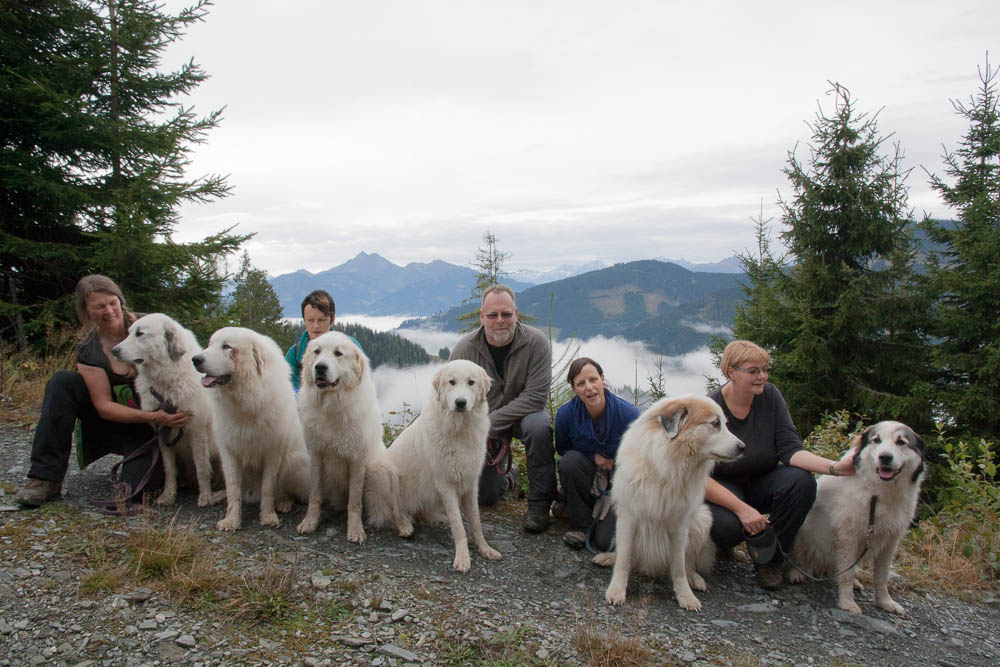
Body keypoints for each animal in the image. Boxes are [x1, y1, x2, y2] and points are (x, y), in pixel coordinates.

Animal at [112, 314, 224, 506]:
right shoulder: (163, 431)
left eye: (140, 333)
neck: (167, 382)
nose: (114, 350)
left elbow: (202, 467)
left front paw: (205, 496)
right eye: (128, 333)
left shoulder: (197, 431)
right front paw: (168, 495)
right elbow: (169, 468)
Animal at [190, 328, 308, 532]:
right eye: (210, 344)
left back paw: (283, 502)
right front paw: (231, 520)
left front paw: (268, 517)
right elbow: (233, 489)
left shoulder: (273, 453)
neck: (247, 400)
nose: (195, 359)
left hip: (295, 461)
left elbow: (268, 488)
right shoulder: (229, 453)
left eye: (227, 347)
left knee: (286, 491)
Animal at [370, 360, 500, 576]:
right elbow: (459, 526)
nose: (460, 402)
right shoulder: (445, 483)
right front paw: (463, 558)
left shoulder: (470, 483)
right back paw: (404, 525)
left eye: (471, 382)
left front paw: (484, 548)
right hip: (382, 469)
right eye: (452, 382)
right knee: (391, 511)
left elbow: (475, 521)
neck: (459, 429)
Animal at [788, 422, 928, 616]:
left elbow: (882, 577)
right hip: (803, 536)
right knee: (801, 559)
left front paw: (885, 602)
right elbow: (846, 575)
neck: (879, 493)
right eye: (876, 440)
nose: (885, 457)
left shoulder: (890, 542)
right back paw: (797, 573)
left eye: (901, 442)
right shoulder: (848, 537)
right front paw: (847, 603)